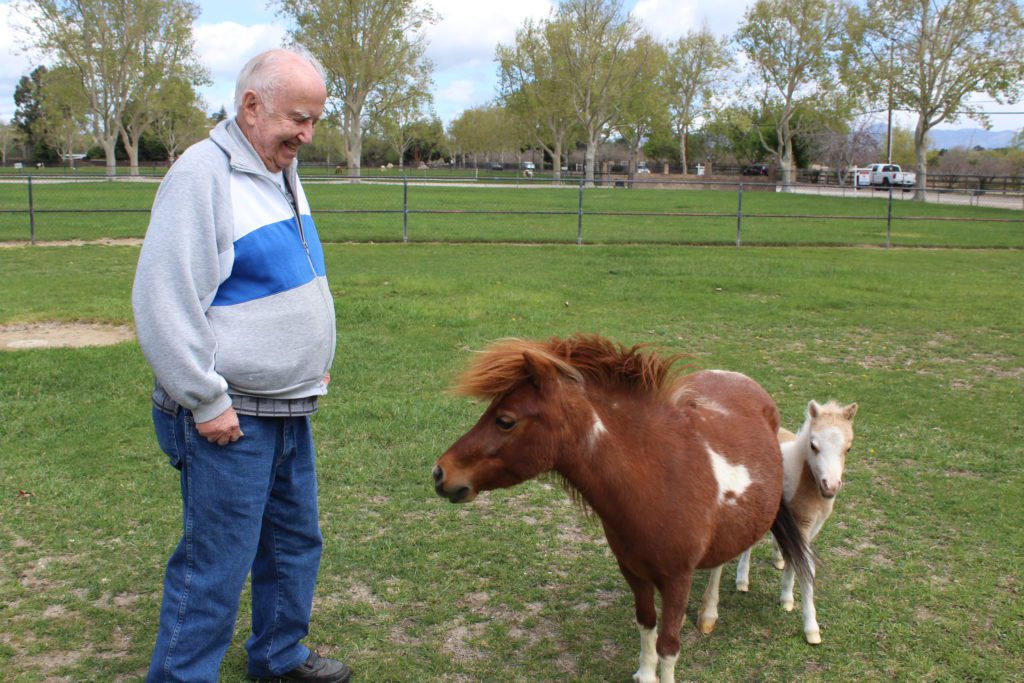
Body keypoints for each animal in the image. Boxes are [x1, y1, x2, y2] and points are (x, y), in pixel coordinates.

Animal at [432, 335, 813, 683]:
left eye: (505, 420)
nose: (440, 473)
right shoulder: (633, 571)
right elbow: (646, 625)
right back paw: (708, 615)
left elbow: (668, 644)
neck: (656, 482)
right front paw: (645, 674)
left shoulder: (677, 580)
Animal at [734, 399, 858, 644]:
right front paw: (811, 628)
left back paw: (777, 558)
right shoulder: (800, 526)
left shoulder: (809, 528)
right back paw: (742, 580)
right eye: (813, 445)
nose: (830, 487)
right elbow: (806, 567)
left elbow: (796, 559)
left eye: (848, 448)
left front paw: (786, 598)